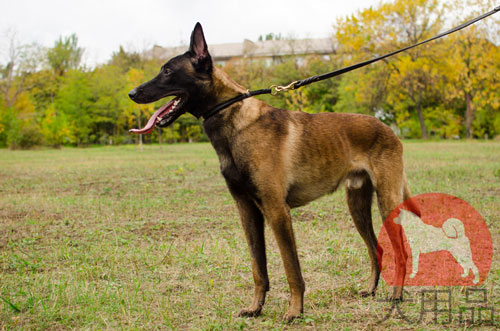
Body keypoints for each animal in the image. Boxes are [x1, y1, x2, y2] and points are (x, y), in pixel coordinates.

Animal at [129, 22, 414, 322]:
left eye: (167, 70)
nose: (132, 93)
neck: (234, 120)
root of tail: (388, 129)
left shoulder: (277, 211)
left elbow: (291, 269)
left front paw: (295, 310)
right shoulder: (247, 211)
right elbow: (258, 269)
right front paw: (256, 307)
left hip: (387, 202)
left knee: (401, 250)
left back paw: (396, 296)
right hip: (357, 206)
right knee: (375, 248)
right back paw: (371, 289)